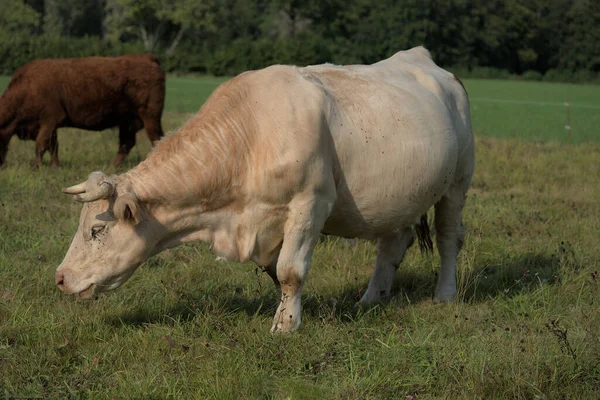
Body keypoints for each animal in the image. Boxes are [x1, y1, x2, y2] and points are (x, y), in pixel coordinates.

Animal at [0, 52, 164, 167]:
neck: (27, 86)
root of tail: (148, 58)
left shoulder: (49, 121)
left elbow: (41, 145)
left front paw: (37, 167)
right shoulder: (50, 126)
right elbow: (53, 146)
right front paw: (55, 166)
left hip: (150, 117)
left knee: (156, 139)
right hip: (126, 121)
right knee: (126, 143)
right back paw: (111, 166)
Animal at [58, 47, 476, 332]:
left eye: (97, 229)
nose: (60, 278)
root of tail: (425, 60)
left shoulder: (310, 205)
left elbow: (290, 270)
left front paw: (286, 325)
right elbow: (276, 271)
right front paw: (290, 311)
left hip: (457, 183)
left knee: (448, 239)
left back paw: (444, 294)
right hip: (397, 198)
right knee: (393, 244)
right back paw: (372, 298)